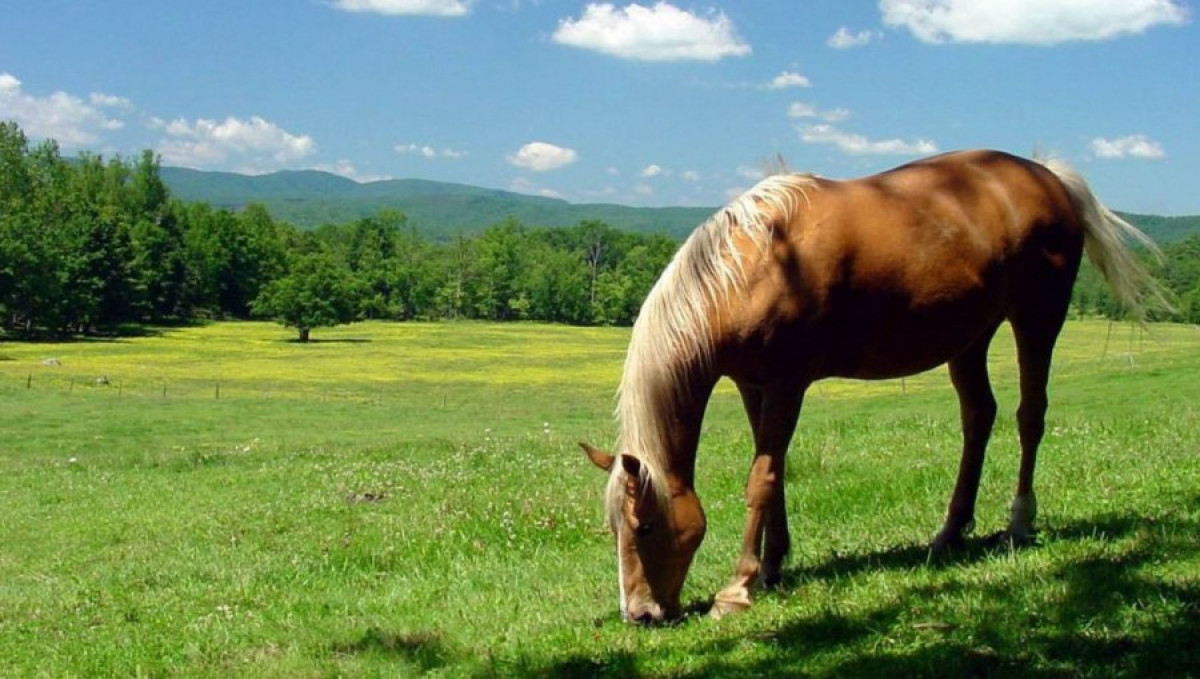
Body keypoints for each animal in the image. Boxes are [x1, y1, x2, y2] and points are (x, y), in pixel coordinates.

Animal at [580, 150, 1161, 628]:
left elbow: (761, 480)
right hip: (969, 338)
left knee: (1030, 415)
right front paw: (773, 566)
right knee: (979, 416)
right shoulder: (753, 383)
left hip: (1038, 318)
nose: (640, 614)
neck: (758, 264)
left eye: (644, 528)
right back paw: (950, 532)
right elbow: (776, 474)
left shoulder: (788, 382)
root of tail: (1048, 176)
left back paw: (1019, 522)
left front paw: (738, 587)